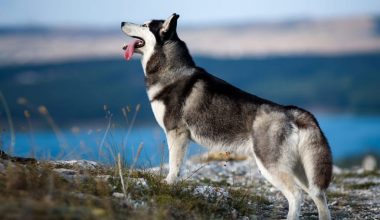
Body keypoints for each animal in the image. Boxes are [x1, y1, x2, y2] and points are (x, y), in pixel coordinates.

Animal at [121, 14, 332, 220]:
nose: (122, 22)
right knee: (318, 195)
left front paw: (168, 184)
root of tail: (291, 111)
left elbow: (174, 166)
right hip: (301, 170)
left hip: (270, 166)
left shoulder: (176, 133)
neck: (171, 70)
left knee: (296, 195)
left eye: (145, 25)